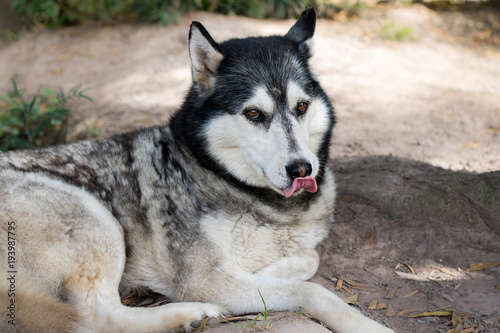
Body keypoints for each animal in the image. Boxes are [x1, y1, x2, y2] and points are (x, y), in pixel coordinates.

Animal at [0, 8, 394, 332]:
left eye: (301, 106)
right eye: (254, 113)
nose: (302, 169)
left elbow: (308, 258)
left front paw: (271, 269)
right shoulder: (209, 280)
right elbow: (313, 291)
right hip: (94, 218)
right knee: (96, 318)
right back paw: (188, 314)